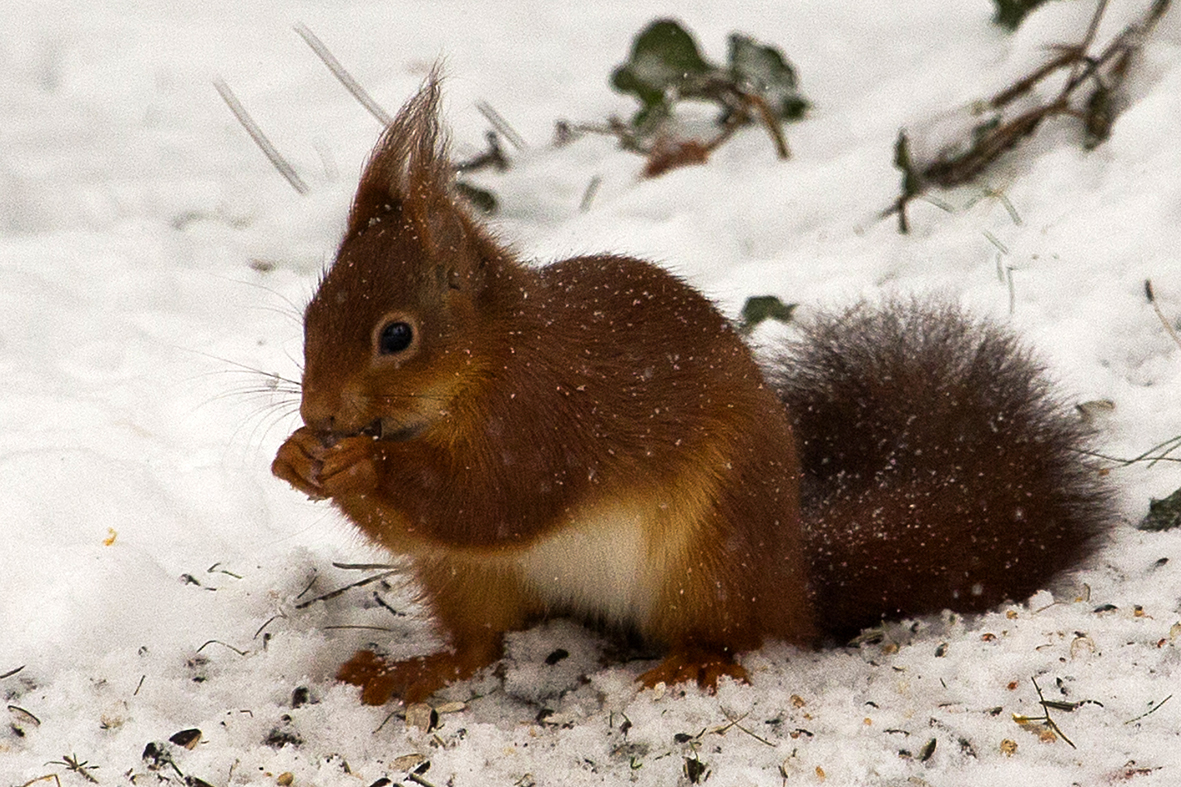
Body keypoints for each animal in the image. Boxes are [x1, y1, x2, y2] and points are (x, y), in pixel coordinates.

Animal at [271, 77, 1110, 704]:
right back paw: (413, 669)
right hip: (468, 579)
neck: (484, 363)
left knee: (738, 631)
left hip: (708, 553)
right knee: (481, 642)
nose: (320, 411)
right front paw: (294, 454)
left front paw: (360, 464)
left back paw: (695, 661)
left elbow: (496, 498)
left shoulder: (541, 413)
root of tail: (793, 579)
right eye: (309, 315)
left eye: (396, 336)